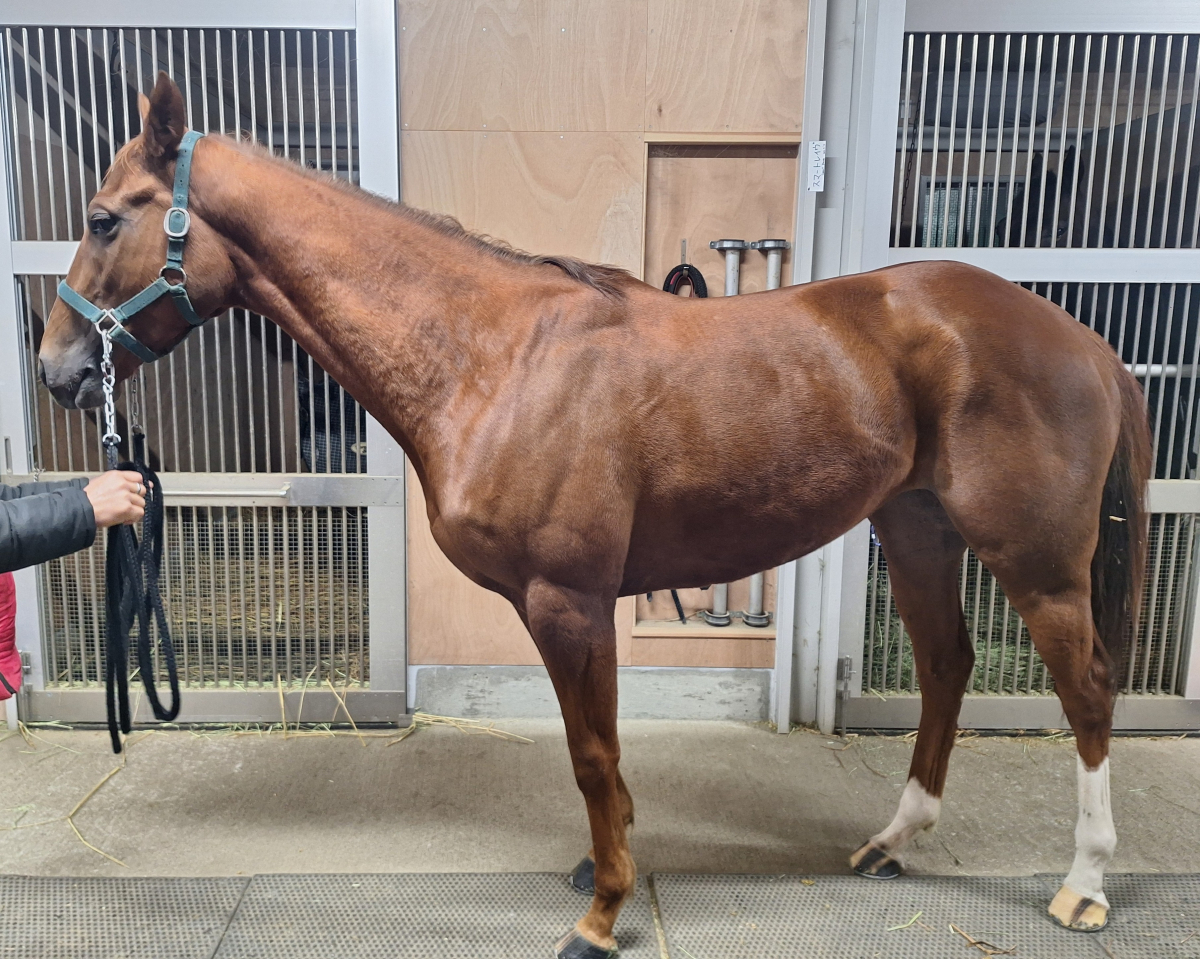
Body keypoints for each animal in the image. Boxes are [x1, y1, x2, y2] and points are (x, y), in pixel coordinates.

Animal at [39, 74, 1150, 957]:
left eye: (104, 218)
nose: (56, 370)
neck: (492, 357)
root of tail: (1086, 342)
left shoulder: (565, 600)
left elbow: (592, 752)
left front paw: (602, 914)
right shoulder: (581, 605)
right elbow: (599, 752)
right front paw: (602, 866)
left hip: (1036, 560)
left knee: (1088, 689)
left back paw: (1084, 883)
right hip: (918, 530)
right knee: (948, 663)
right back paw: (890, 840)